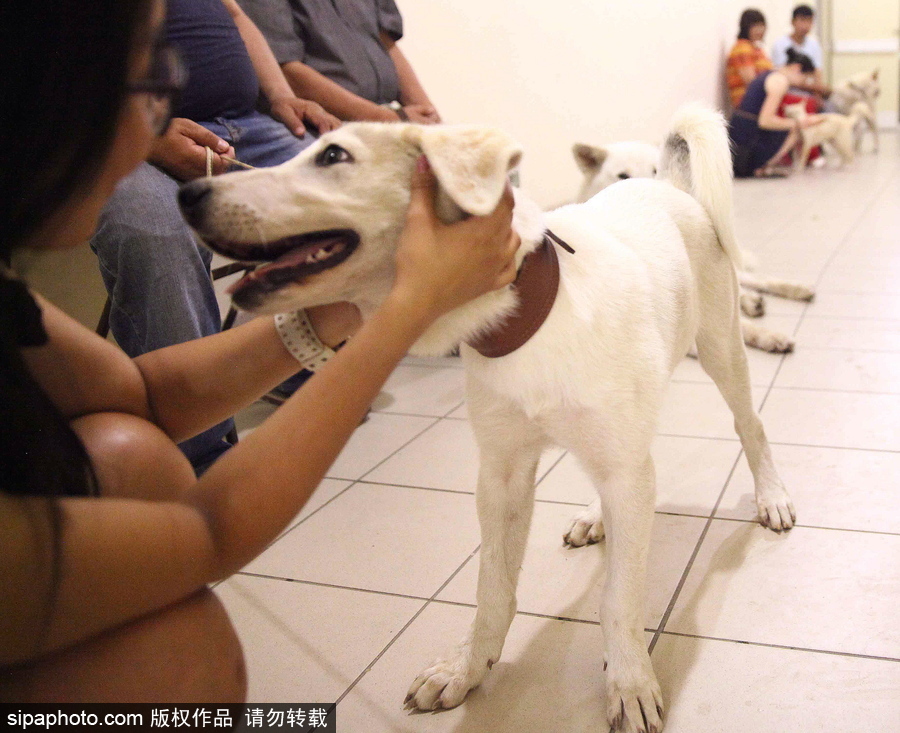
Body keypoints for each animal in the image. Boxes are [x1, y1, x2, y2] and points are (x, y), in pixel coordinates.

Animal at [576, 139, 816, 352]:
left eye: (656, 170)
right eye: (622, 176)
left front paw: (769, 335)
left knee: (754, 281)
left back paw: (795, 290)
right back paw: (752, 302)